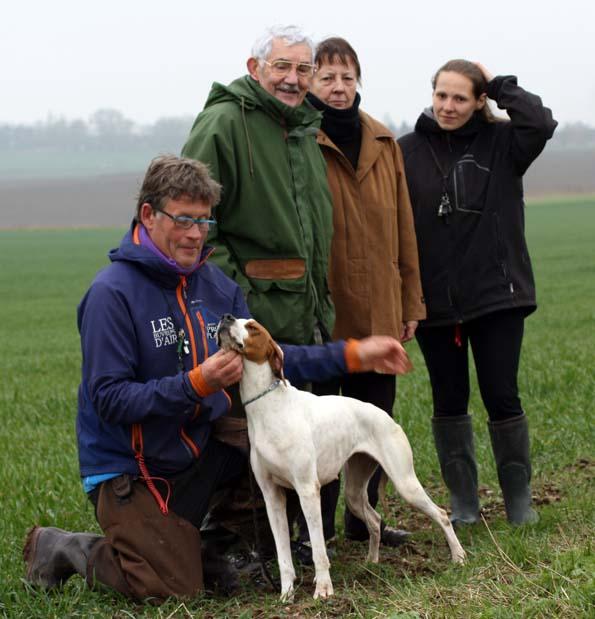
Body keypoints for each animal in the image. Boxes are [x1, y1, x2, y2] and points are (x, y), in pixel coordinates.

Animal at [217, 314, 468, 600]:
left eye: (253, 327)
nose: (226, 317)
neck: (266, 407)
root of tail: (388, 417)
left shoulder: (307, 490)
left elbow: (318, 549)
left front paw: (324, 589)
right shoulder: (272, 497)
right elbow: (283, 556)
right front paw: (287, 593)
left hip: (405, 484)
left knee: (441, 514)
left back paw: (459, 556)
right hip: (354, 491)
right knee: (375, 520)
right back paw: (372, 563)